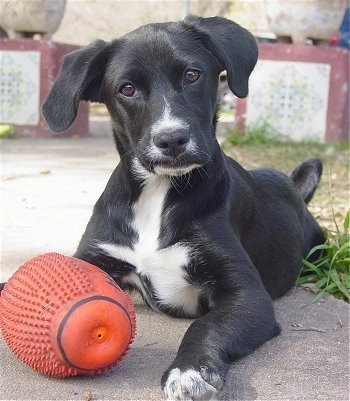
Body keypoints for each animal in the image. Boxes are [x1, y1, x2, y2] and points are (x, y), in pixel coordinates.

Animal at [40, 16, 322, 400]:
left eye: (191, 75)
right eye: (127, 89)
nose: (171, 139)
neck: (158, 193)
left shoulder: (248, 296)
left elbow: (205, 326)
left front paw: (190, 370)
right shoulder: (92, 257)